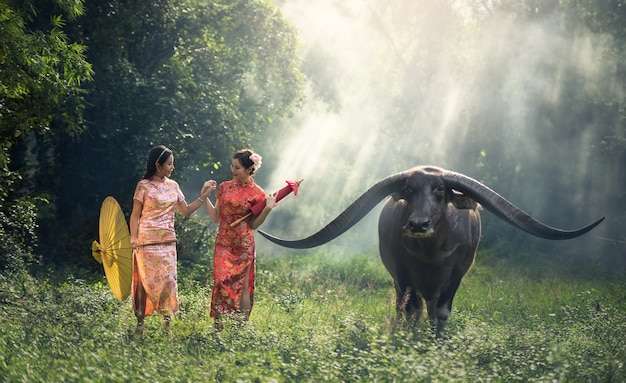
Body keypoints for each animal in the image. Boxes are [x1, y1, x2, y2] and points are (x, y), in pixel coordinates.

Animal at [256, 166, 604, 334]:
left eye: (439, 190)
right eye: (409, 189)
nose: (418, 224)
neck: (430, 254)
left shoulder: (457, 275)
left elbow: (442, 312)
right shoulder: (403, 275)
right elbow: (412, 310)